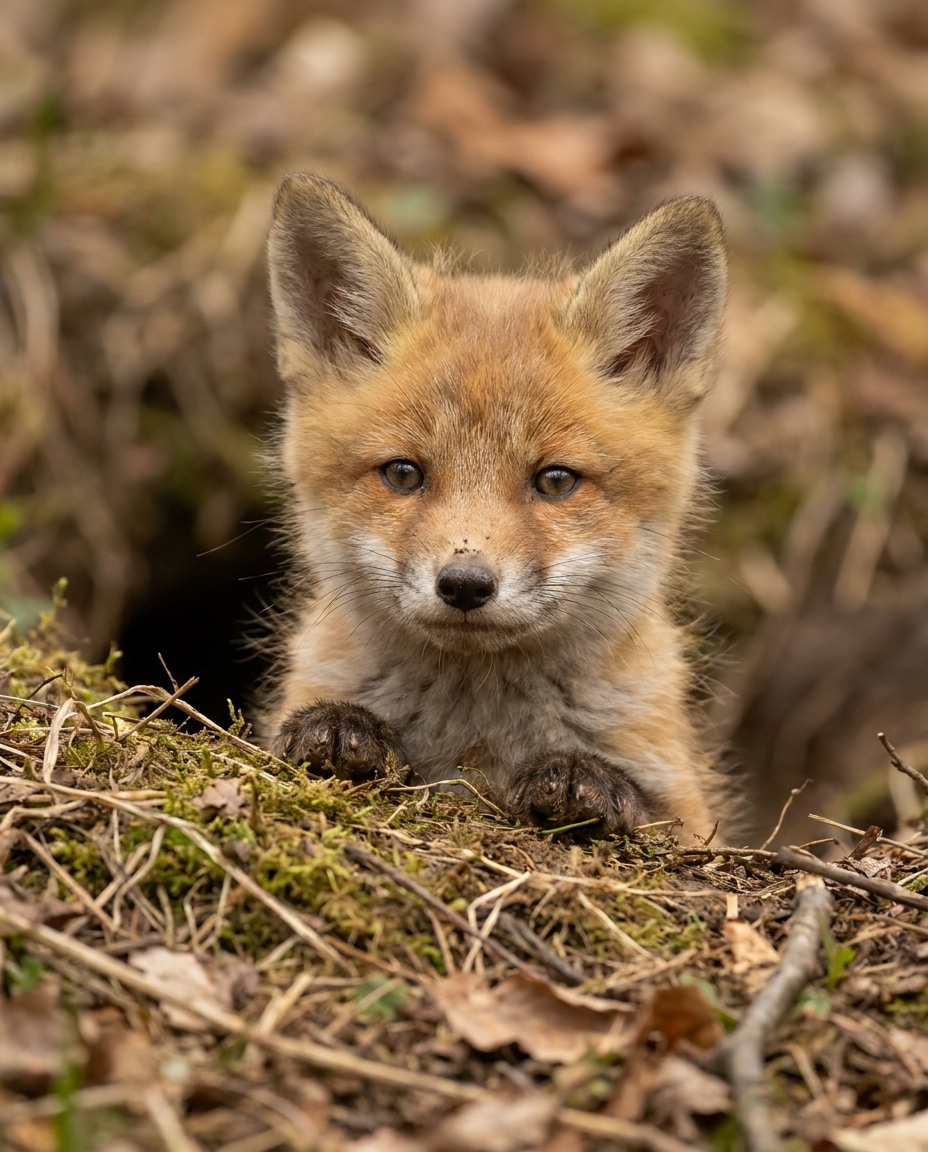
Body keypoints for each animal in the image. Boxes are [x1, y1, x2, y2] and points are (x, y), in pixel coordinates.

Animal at [261, 173, 728, 842]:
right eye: (402, 473)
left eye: (555, 481)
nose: (464, 584)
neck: (475, 739)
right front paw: (344, 730)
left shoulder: (687, 808)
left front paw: (582, 781)